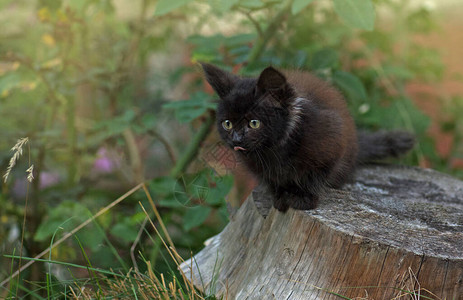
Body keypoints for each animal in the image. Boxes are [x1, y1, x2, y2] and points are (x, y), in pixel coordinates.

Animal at [201, 62, 416, 211]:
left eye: (254, 123)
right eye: (227, 124)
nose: (236, 139)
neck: (275, 150)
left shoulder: (332, 142)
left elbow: (315, 176)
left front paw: (304, 198)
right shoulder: (257, 166)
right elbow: (272, 180)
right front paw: (279, 197)